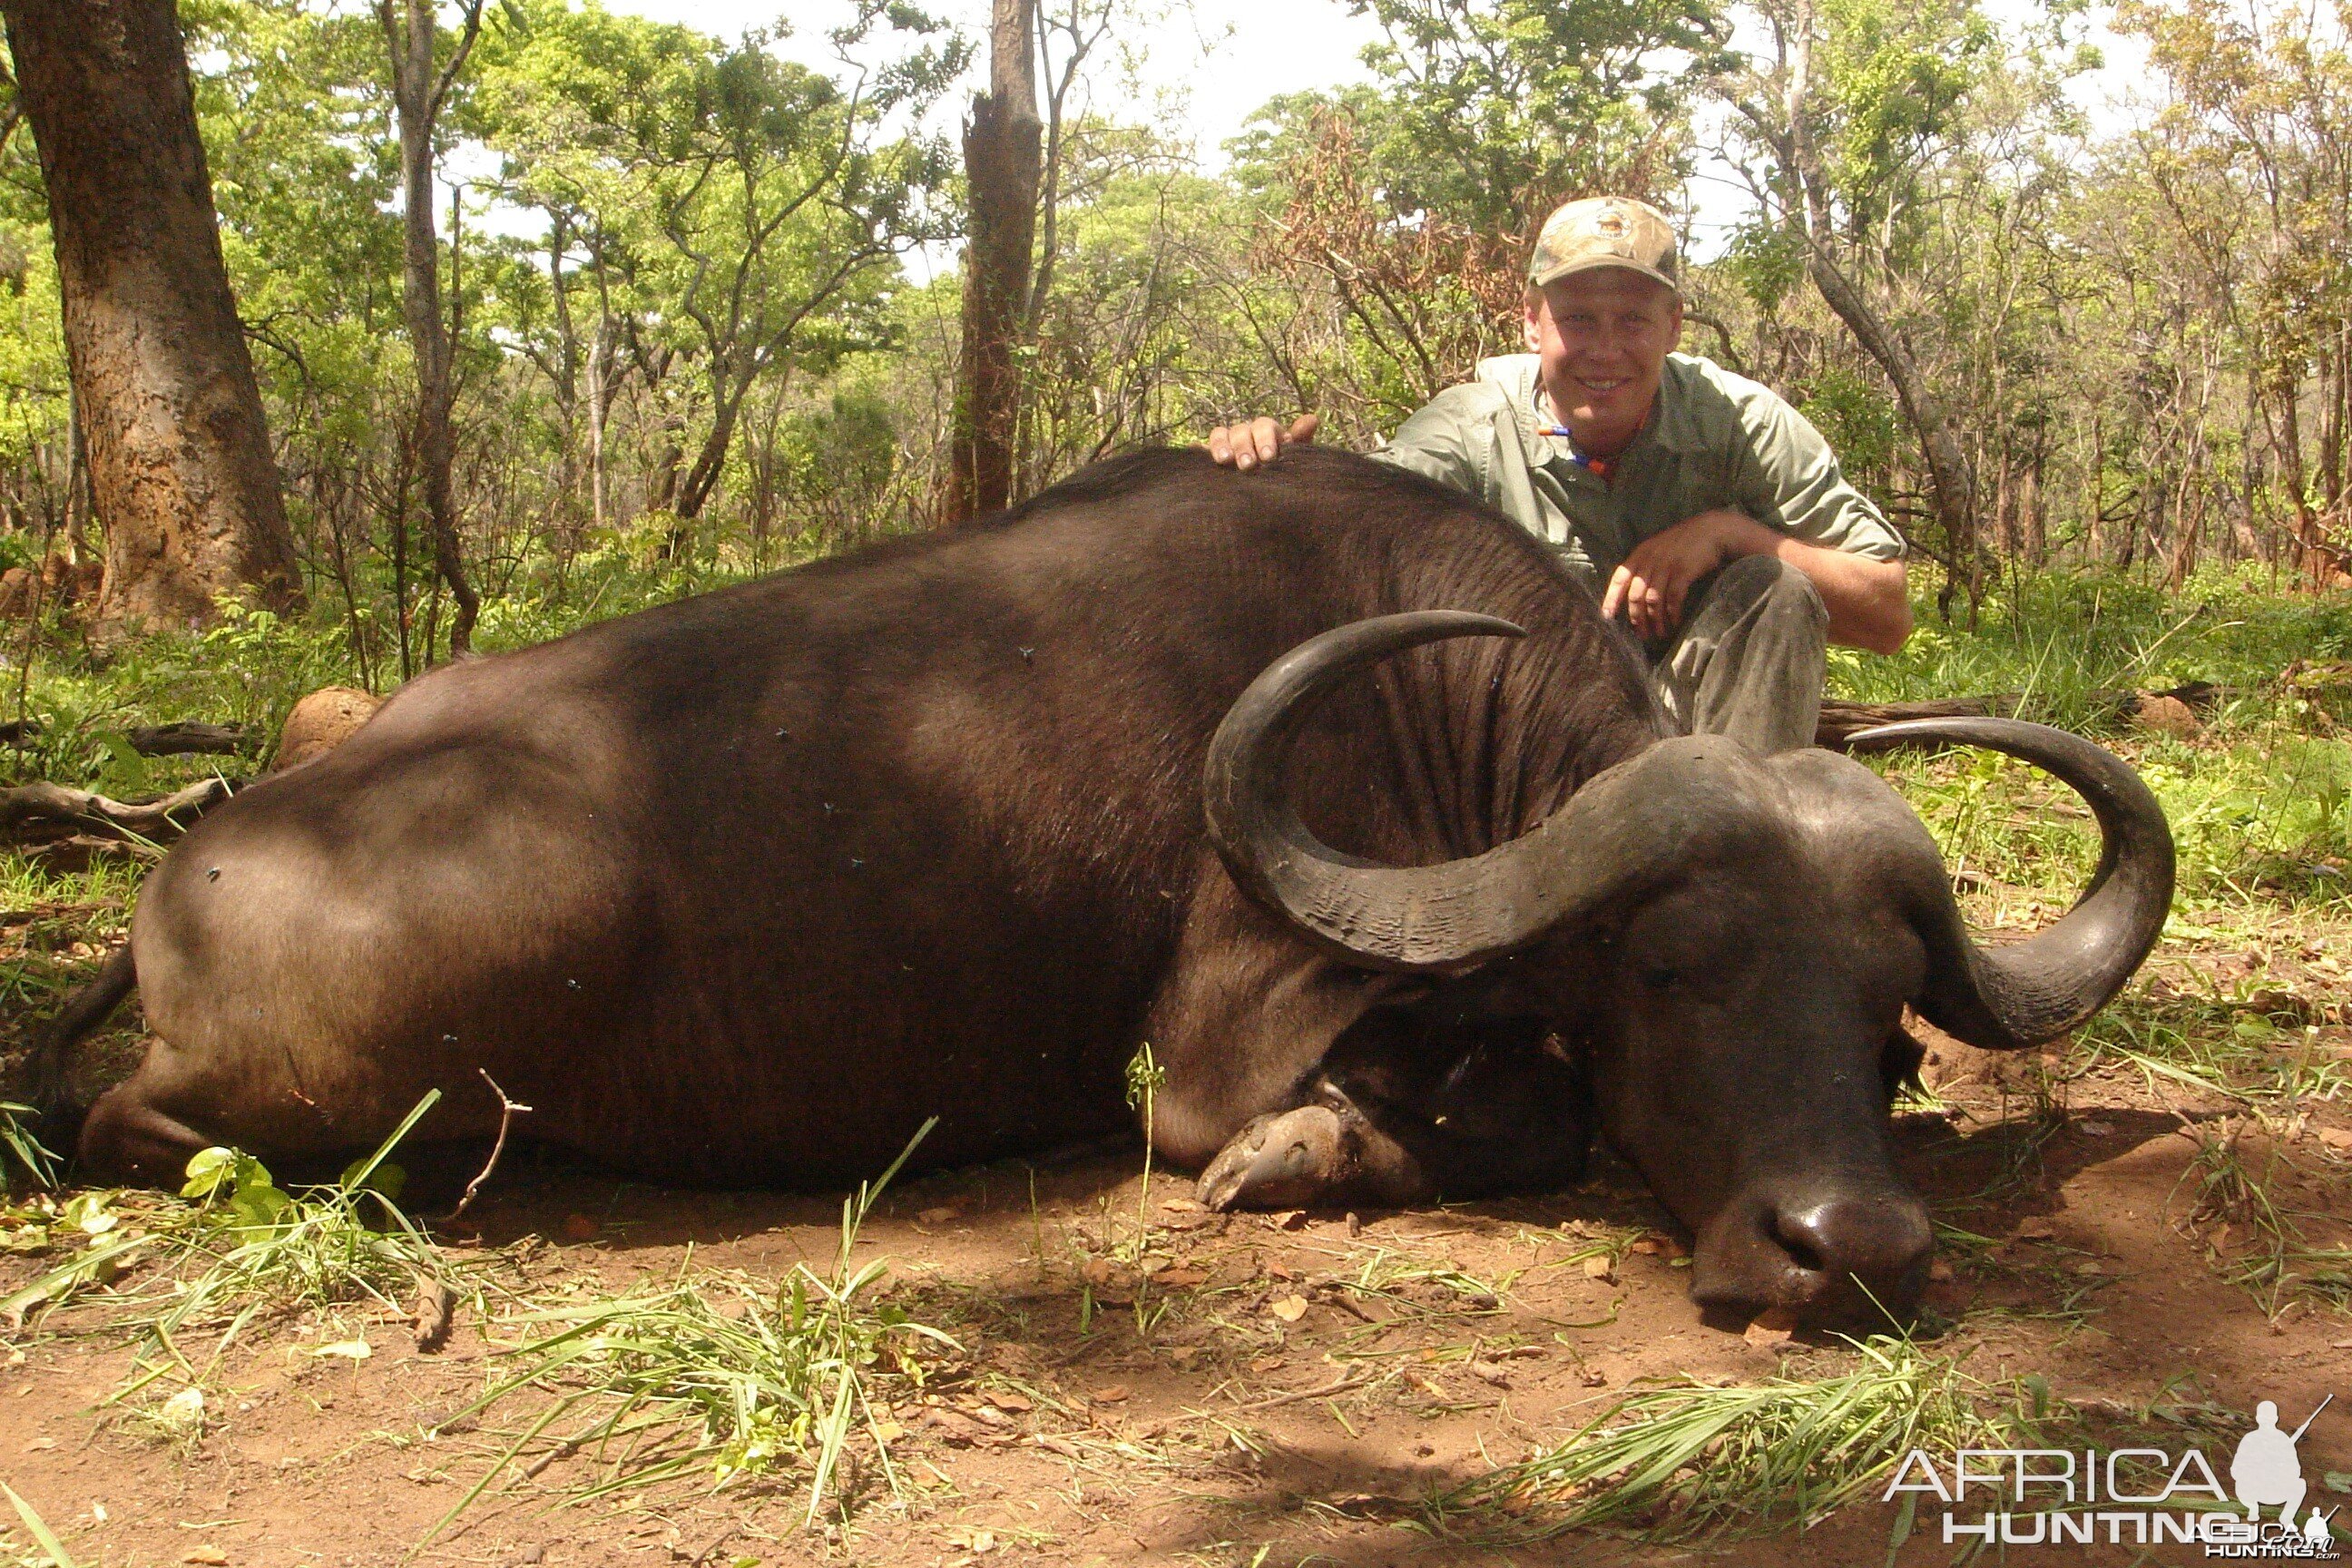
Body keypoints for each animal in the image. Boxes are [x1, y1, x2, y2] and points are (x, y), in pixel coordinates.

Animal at [36, 444, 2163, 1326]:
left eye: (1885, 1035)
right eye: (1674, 975)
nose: (1847, 1248)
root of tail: (195, 870)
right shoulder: (1217, 1055)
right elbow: (1507, 1117)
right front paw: (1312, 1160)